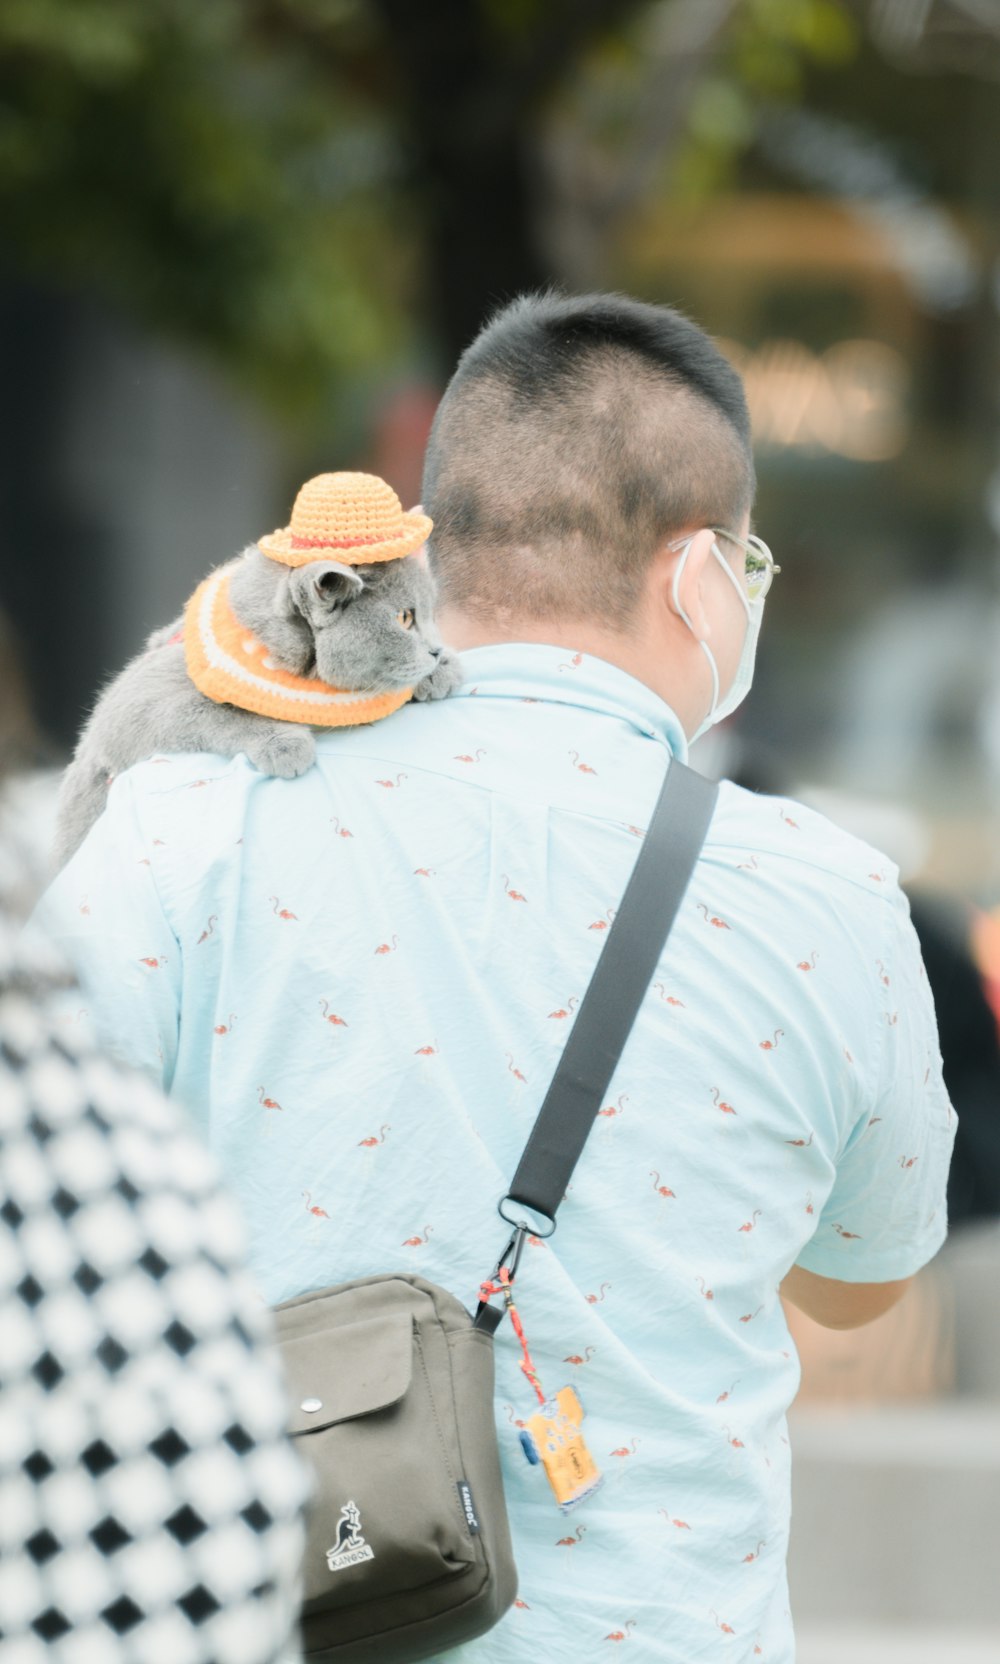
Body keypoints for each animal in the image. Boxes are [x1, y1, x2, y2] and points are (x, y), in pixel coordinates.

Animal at [54, 545, 459, 865]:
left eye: (429, 615)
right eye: (404, 618)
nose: (437, 650)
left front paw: (443, 671)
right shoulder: (137, 703)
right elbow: (221, 712)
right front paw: (286, 745)